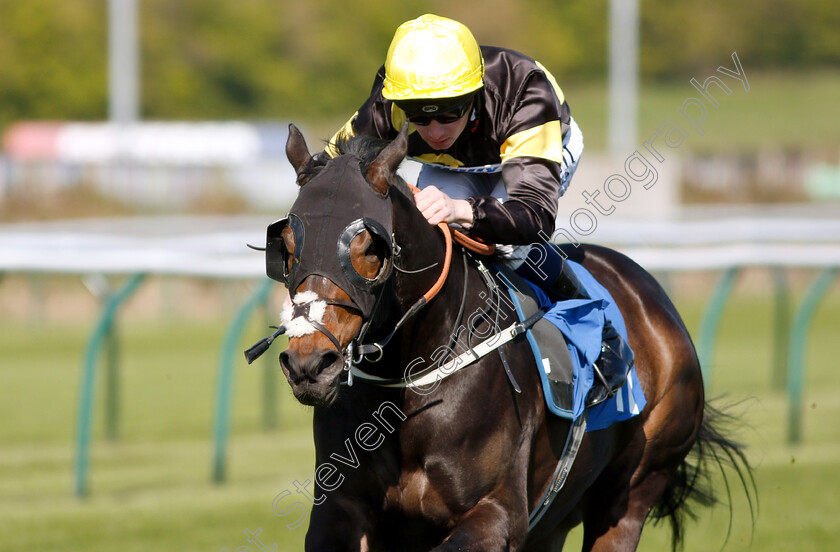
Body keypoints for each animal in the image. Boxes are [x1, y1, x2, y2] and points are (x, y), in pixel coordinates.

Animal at [260, 126, 752, 552]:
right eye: (287, 244)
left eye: (368, 247)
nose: (309, 364)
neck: (410, 384)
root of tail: (655, 300)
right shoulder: (341, 511)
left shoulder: (497, 513)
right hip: (554, 520)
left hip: (634, 489)